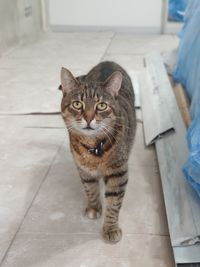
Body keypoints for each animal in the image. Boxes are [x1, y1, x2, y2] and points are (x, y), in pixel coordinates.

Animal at [60, 61, 137, 244]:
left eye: (101, 106)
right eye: (77, 104)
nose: (88, 118)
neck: (93, 146)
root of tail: (108, 61)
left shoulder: (118, 173)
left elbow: (113, 203)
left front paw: (110, 228)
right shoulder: (84, 170)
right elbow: (90, 189)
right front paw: (94, 207)